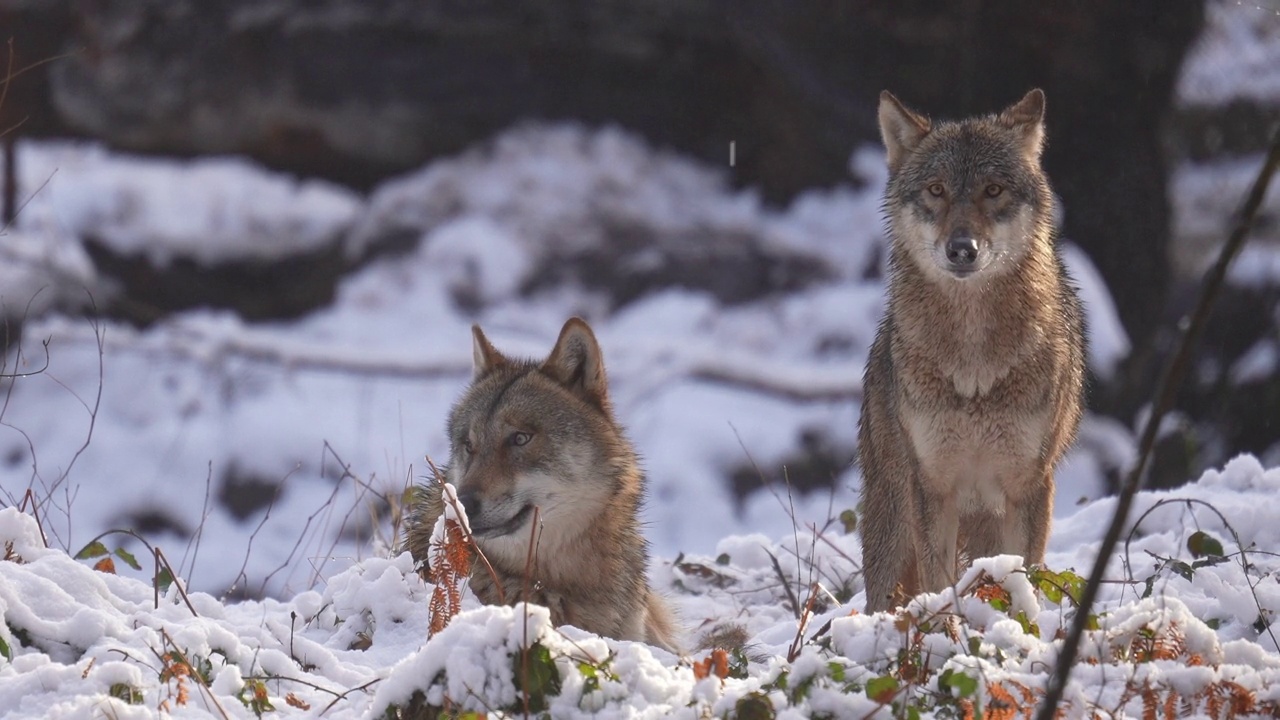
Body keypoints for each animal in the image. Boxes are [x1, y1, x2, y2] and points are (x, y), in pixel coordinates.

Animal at [860, 90, 1090, 609]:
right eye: (936, 190)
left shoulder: (1028, 485)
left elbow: (1026, 577)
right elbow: (937, 586)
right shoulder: (933, 488)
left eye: (993, 190)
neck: (974, 361)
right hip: (893, 524)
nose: (961, 248)